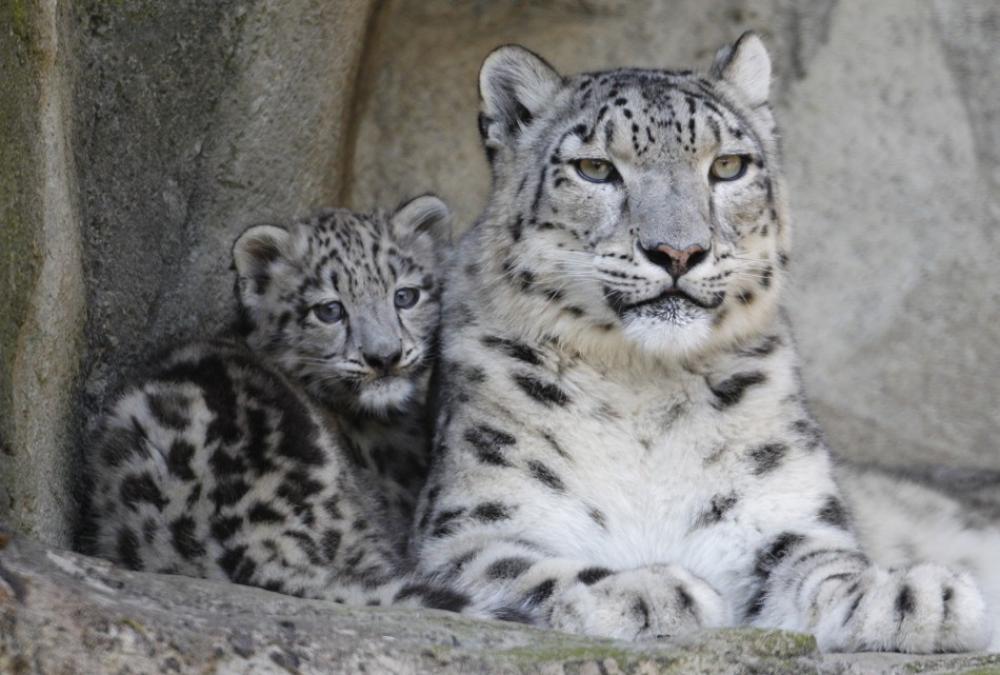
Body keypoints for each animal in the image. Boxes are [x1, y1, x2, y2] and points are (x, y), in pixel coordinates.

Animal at [412, 34, 992, 652]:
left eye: (728, 166)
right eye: (595, 168)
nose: (678, 252)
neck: (640, 384)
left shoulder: (784, 511)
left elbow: (822, 564)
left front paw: (910, 596)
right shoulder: (472, 525)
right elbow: (515, 568)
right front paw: (644, 592)